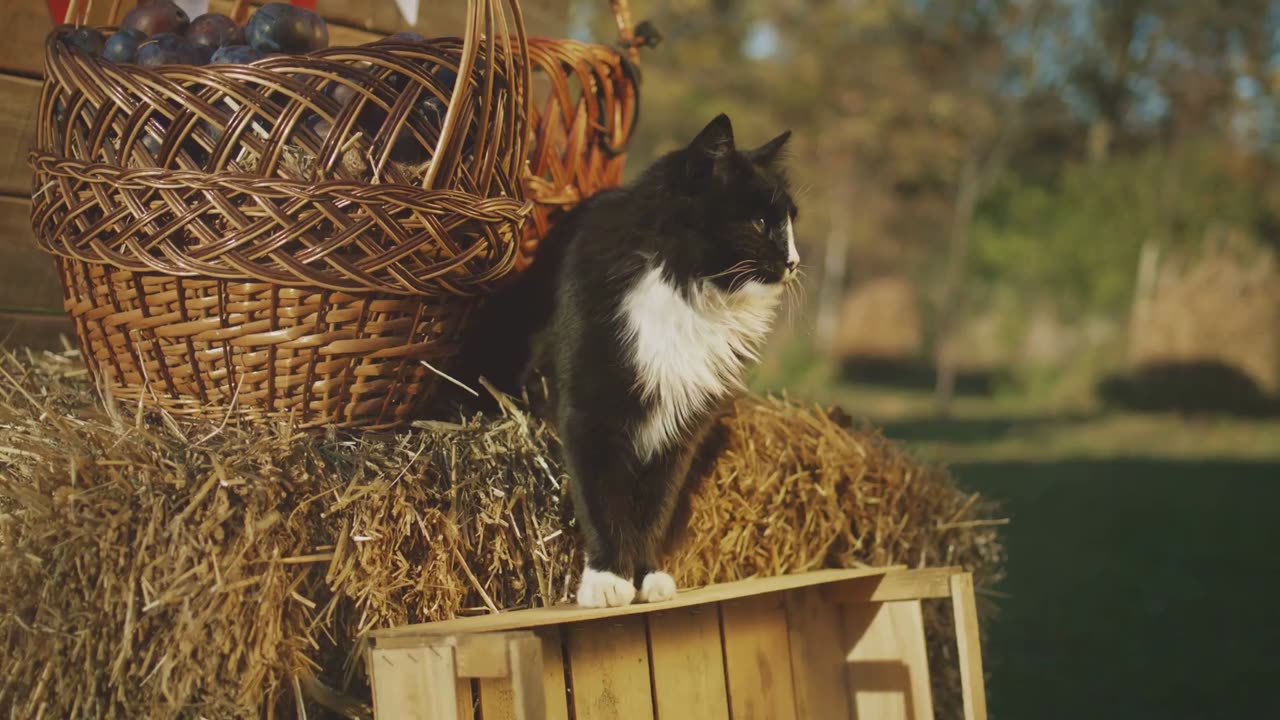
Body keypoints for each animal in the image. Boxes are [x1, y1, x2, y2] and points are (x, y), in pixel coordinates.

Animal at [460, 113, 798, 604]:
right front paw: (607, 578)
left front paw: (646, 573)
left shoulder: (681, 429)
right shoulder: (589, 414)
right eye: (758, 222)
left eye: (790, 223)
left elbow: (657, 505)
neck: (685, 291)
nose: (794, 261)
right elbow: (602, 501)